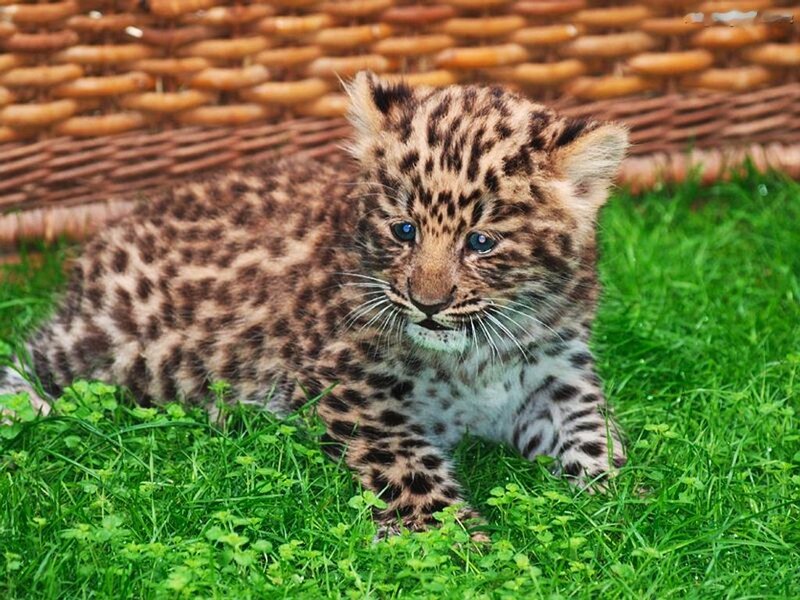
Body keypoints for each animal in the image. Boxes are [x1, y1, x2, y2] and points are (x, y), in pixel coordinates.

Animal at [1, 71, 629, 536]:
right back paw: (24, 405)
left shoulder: (558, 376)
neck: (477, 356)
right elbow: (407, 467)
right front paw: (454, 540)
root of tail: (103, 238)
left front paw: (617, 500)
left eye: (481, 242)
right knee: (32, 352)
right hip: (112, 346)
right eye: (403, 231)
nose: (426, 304)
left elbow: (593, 432)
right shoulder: (351, 392)